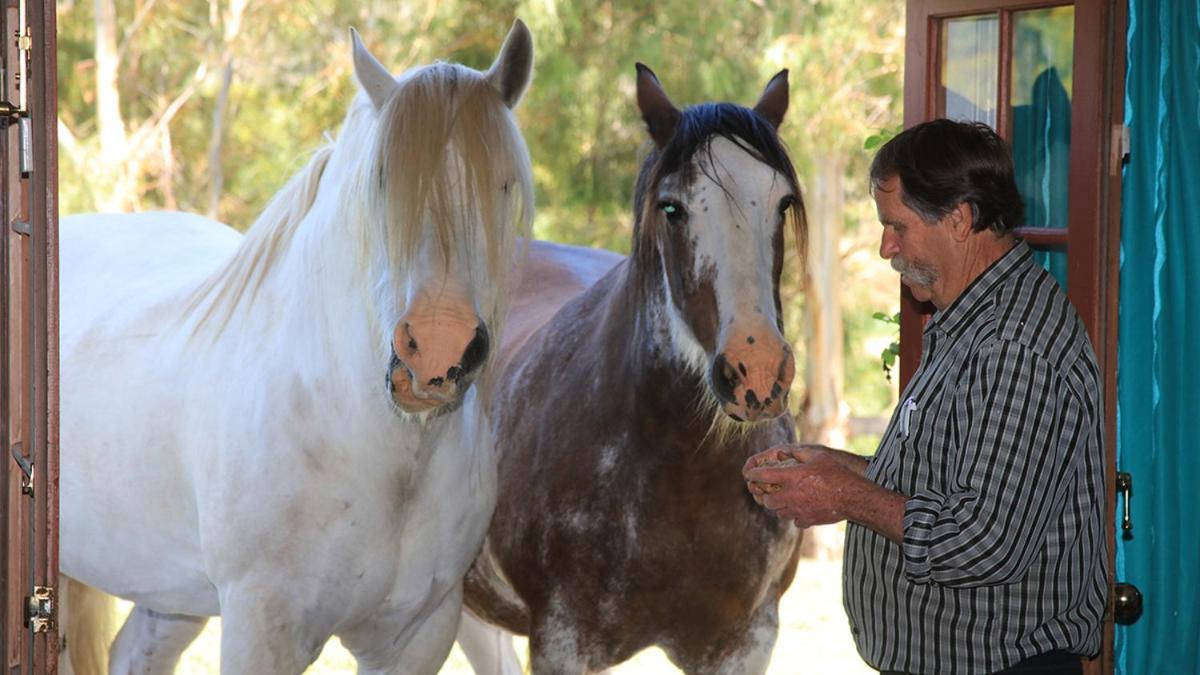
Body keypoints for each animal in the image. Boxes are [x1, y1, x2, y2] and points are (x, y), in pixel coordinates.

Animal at [57, 21, 535, 672]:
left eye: (503, 183)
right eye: (382, 179)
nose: (438, 350)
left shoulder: (418, 633)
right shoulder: (262, 629)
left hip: (165, 591)